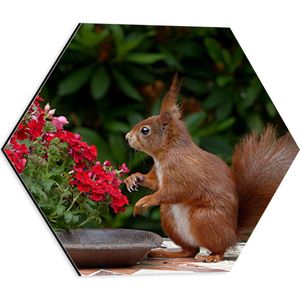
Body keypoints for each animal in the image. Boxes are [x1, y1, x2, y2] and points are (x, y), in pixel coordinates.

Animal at [123, 75, 298, 262]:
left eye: (145, 130)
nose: (127, 136)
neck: (166, 153)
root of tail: (232, 235)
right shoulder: (159, 173)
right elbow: (155, 182)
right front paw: (134, 178)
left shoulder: (184, 171)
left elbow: (174, 191)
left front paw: (145, 201)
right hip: (169, 216)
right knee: (190, 250)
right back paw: (166, 252)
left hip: (203, 218)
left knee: (218, 248)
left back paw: (212, 256)